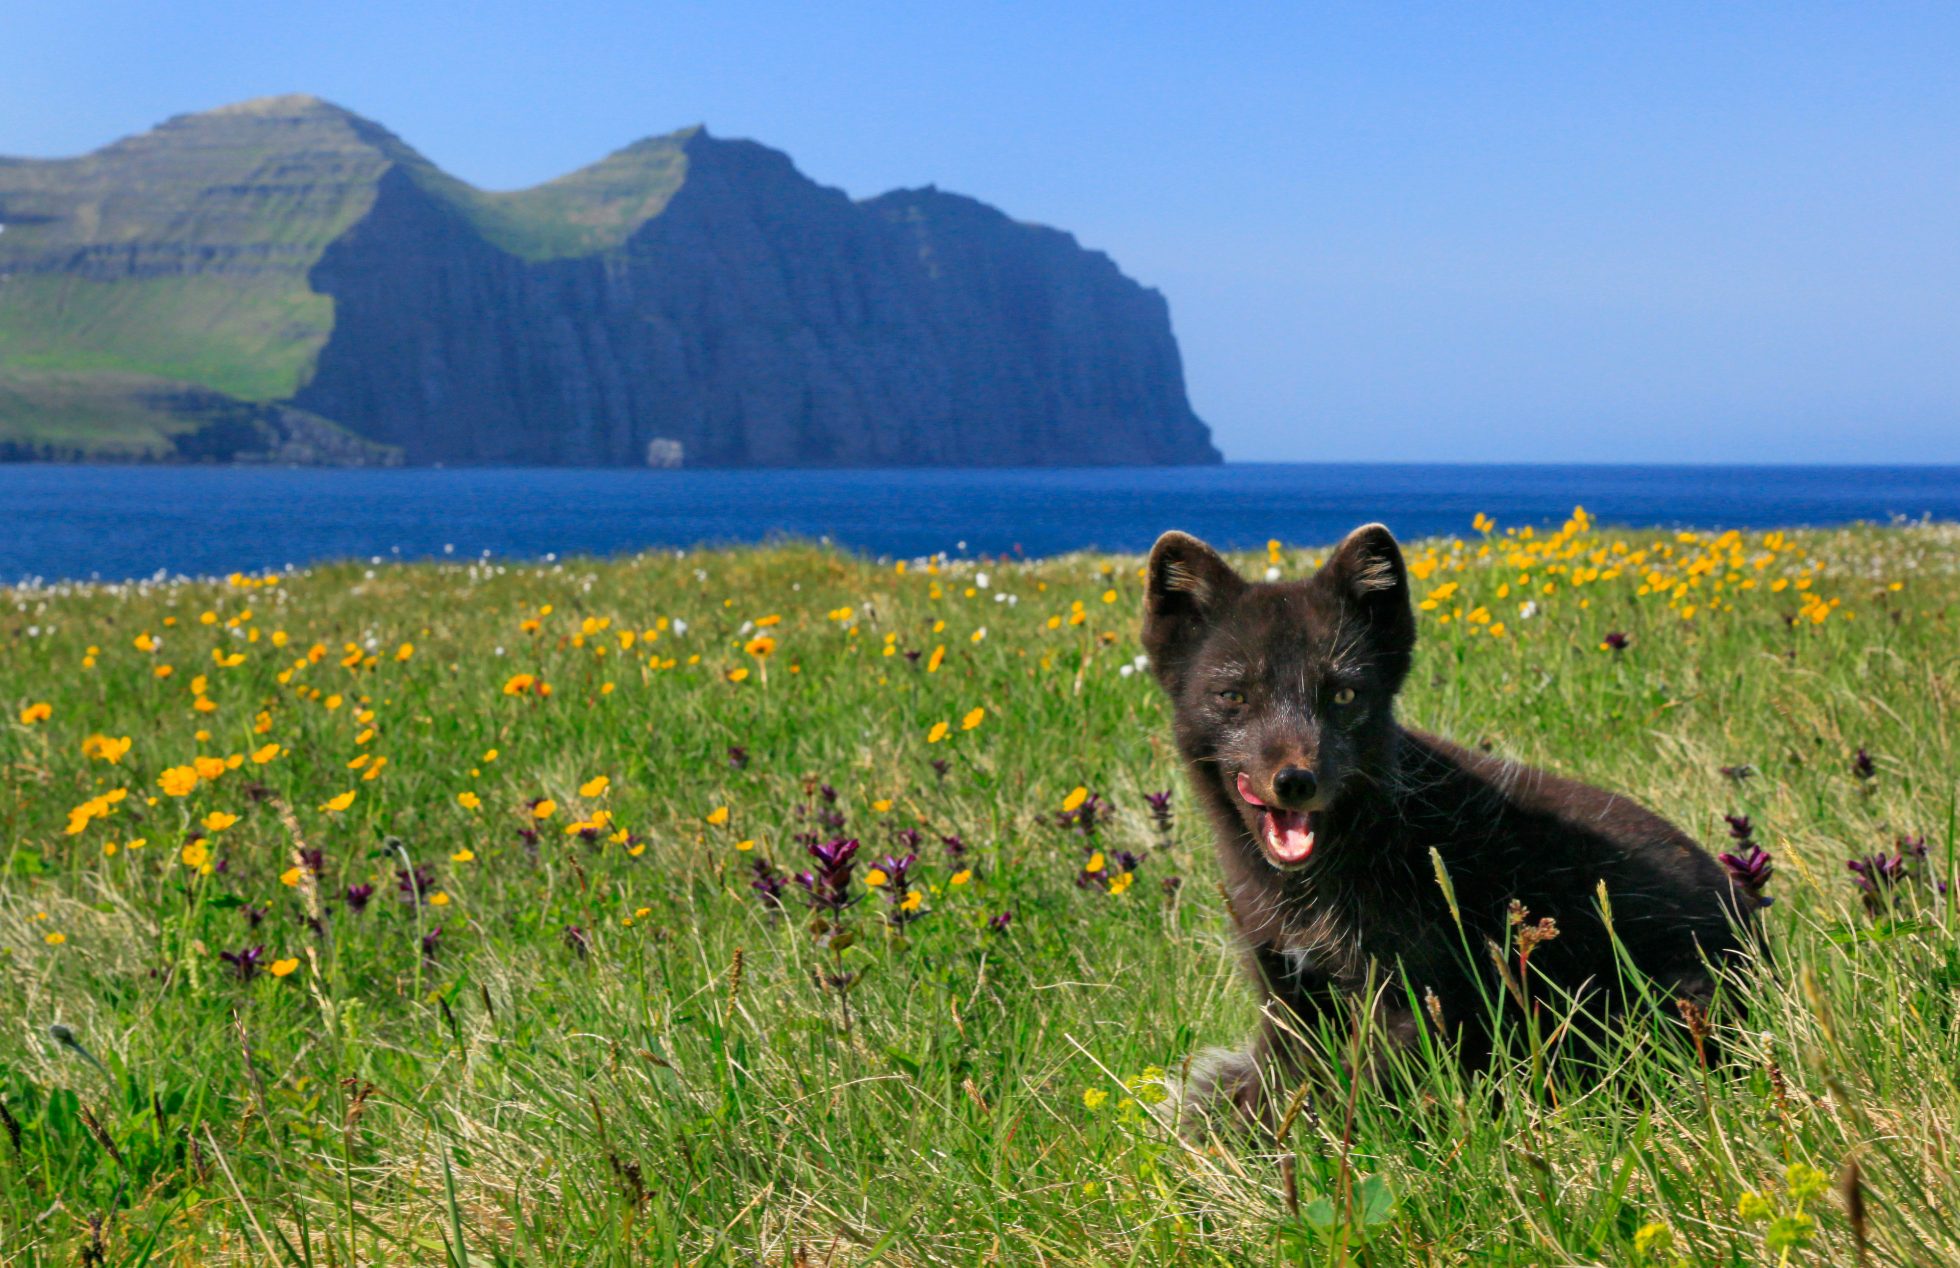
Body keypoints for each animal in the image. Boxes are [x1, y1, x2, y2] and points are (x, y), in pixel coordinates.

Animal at [1144, 525, 1756, 1128]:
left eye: (1343, 693)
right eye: (1233, 696)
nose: (1295, 781)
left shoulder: (1410, 996)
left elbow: (1343, 1100)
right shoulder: (1287, 992)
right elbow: (1279, 1087)